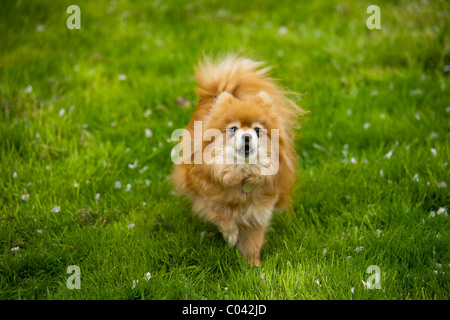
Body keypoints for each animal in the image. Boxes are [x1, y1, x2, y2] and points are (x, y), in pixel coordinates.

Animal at [171, 54, 304, 264]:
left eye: (257, 130)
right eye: (233, 128)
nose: (247, 136)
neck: (242, 175)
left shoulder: (258, 213)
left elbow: (253, 241)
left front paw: (253, 265)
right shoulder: (204, 194)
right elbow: (220, 212)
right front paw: (231, 234)